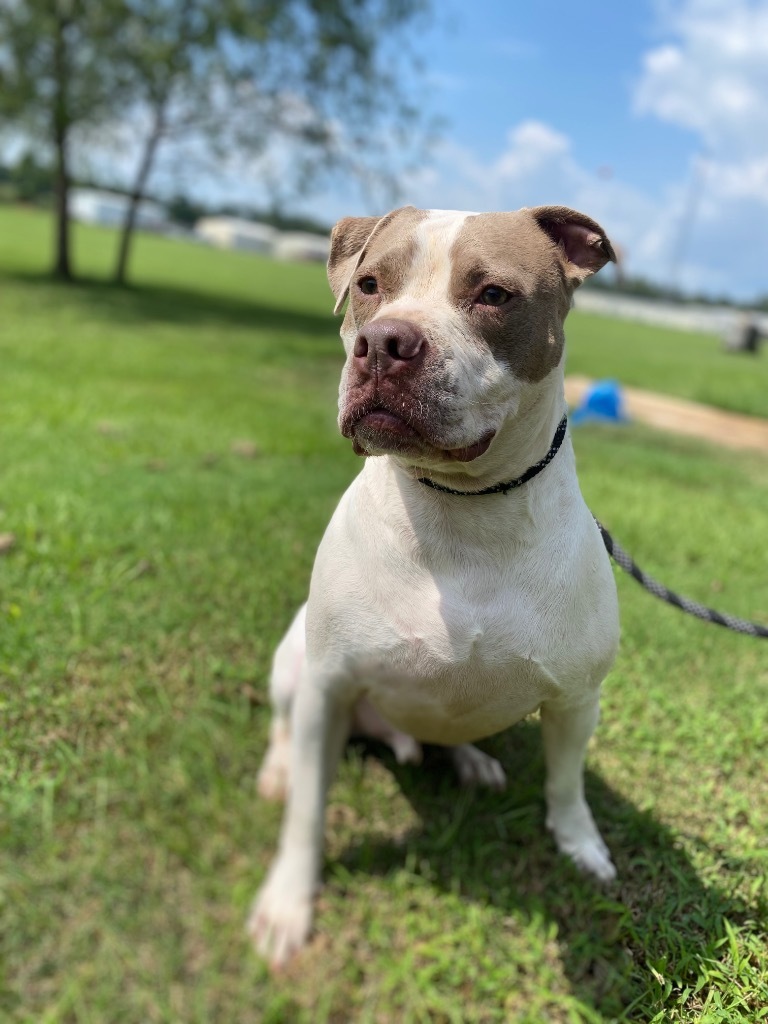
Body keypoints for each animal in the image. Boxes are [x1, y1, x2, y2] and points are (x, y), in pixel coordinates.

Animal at [249, 203, 622, 962]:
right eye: (369, 284)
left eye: (494, 294)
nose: (383, 343)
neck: (463, 510)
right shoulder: (328, 686)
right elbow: (307, 809)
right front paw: (287, 901)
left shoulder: (577, 697)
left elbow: (567, 782)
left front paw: (581, 844)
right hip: (293, 660)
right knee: (282, 724)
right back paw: (277, 770)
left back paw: (471, 760)